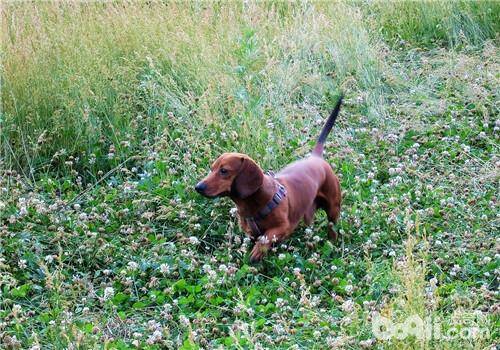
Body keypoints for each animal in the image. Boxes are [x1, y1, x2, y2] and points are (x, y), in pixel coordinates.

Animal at [195, 95, 344, 262]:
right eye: (212, 168)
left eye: (224, 171)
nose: (198, 187)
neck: (254, 202)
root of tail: (316, 157)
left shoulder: (283, 227)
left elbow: (266, 238)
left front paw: (257, 252)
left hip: (333, 208)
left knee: (332, 227)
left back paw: (332, 242)